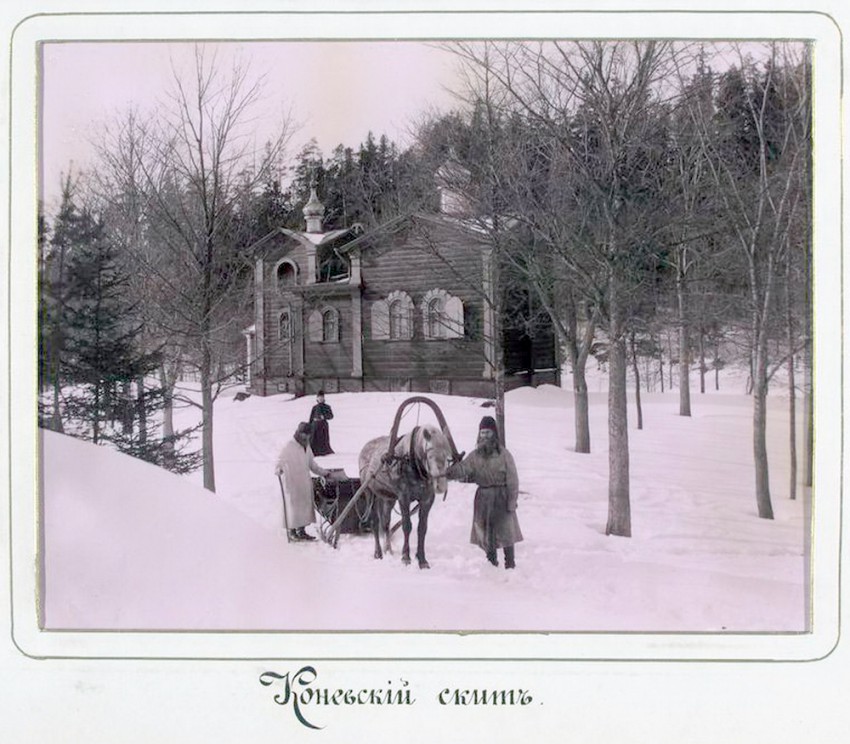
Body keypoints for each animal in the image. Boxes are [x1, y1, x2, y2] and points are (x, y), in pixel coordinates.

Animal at [356, 424, 450, 568]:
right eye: (429, 452)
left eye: (447, 454)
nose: (441, 485)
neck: (414, 465)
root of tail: (364, 448)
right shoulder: (403, 497)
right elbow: (407, 526)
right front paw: (406, 557)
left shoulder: (427, 499)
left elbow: (422, 528)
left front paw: (422, 560)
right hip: (370, 493)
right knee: (375, 523)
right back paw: (378, 553)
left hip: (388, 498)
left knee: (386, 523)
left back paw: (388, 550)